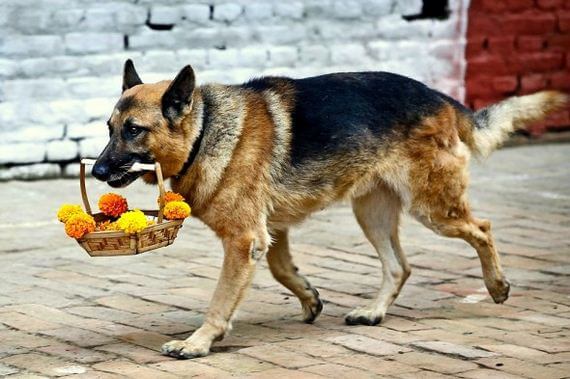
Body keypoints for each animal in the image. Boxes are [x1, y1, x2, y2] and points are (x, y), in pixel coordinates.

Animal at [92, 59, 564, 360]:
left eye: (133, 131)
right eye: (110, 129)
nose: (95, 171)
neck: (205, 130)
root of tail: (440, 97)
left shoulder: (245, 240)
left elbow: (222, 298)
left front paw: (198, 342)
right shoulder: (270, 233)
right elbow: (283, 269)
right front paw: (310, 298)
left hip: (432, 209)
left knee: (482, 227)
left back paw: (497, 286)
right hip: (372, 214)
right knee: (399, 266)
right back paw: (374, 311)